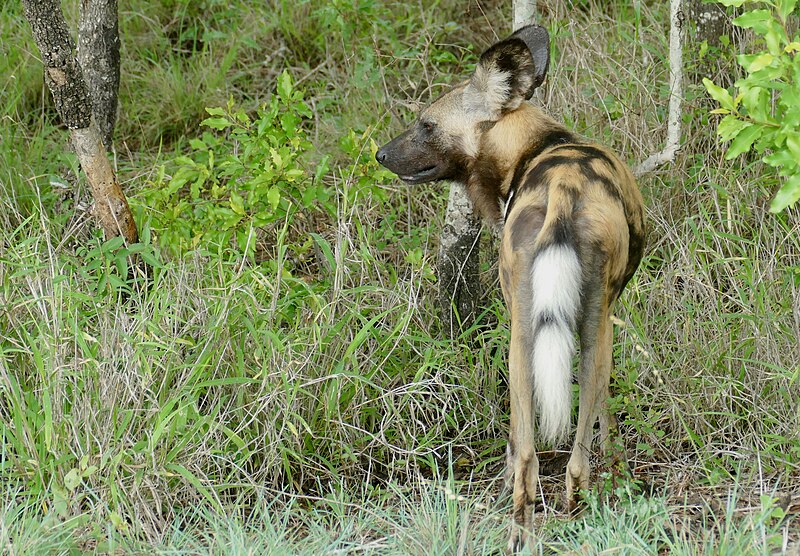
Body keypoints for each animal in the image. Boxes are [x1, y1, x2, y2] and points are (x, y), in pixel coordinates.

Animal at [376, 25, 644, 548]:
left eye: (426, 125)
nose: (380, 154)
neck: (536, 147)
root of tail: (564, 188)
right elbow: (604, 418)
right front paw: (619, 474)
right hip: (582, 331)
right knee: (561, 453)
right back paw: (567, 517)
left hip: (528, 337)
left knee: (532, 454)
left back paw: (525, 528)